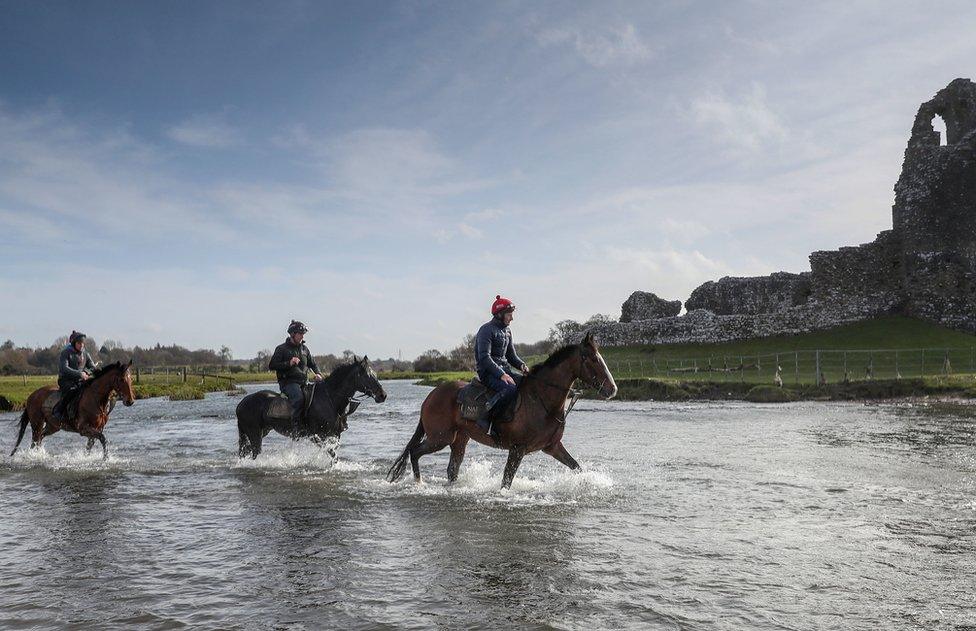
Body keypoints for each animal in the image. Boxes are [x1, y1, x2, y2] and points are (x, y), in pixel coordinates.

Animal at [235, 358, 386, 462]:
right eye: (366, 375)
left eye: (374, 374)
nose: (382, 395)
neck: (330, 399)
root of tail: (240, 404)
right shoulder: (317, 435)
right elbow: (332, 454)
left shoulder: (335, 435)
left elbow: (334, 455)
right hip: (254, 434)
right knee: (254, 452)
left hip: (261, 431)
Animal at [386, 334, 616, 492]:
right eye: (593, 359)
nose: (612, 389)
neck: (541, 400)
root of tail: (431, 395)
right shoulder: (517, 449)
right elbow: (506, 481)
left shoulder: (552, 446)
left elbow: (576, 467)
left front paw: (590, 483)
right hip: (440, 438)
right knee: (415, 452)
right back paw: (418, 483)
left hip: (459, 439)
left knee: (451, 469)